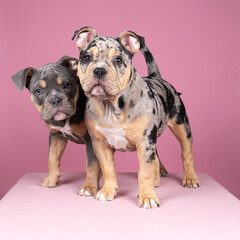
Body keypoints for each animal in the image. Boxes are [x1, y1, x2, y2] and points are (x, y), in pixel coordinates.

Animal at [12, 56, 101, 195]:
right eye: (38, 91)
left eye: (67, 85)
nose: (55, 100)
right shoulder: (56, 135)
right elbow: (52, 157)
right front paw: (52, 179)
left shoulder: (91, 139)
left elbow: (92, 163)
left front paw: (89, 187)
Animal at [72, 27, 199, 208]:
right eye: (87, 57)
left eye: (118, 60)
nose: (99, 70)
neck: (111, 107)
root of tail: (156, 77)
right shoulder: (100, 143)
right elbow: (108, 169)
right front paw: (107, 191)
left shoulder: (145, 142)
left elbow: (144, 172)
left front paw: (147, 197)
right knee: (156, 156)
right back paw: (157, 177)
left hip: (181, 125)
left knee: (186, 153)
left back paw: (190, 178)